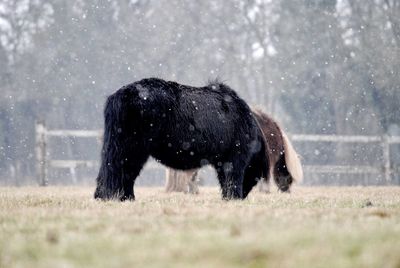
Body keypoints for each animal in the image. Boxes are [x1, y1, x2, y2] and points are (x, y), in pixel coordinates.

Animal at [94, 78, 268, 201]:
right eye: (256, 176)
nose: (243, 196)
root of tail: (119, 96)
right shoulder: (234, 157)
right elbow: (232, 177)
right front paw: (232, 197)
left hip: (118, 145)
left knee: (113, 169)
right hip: (132, 147)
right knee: (121, 169)